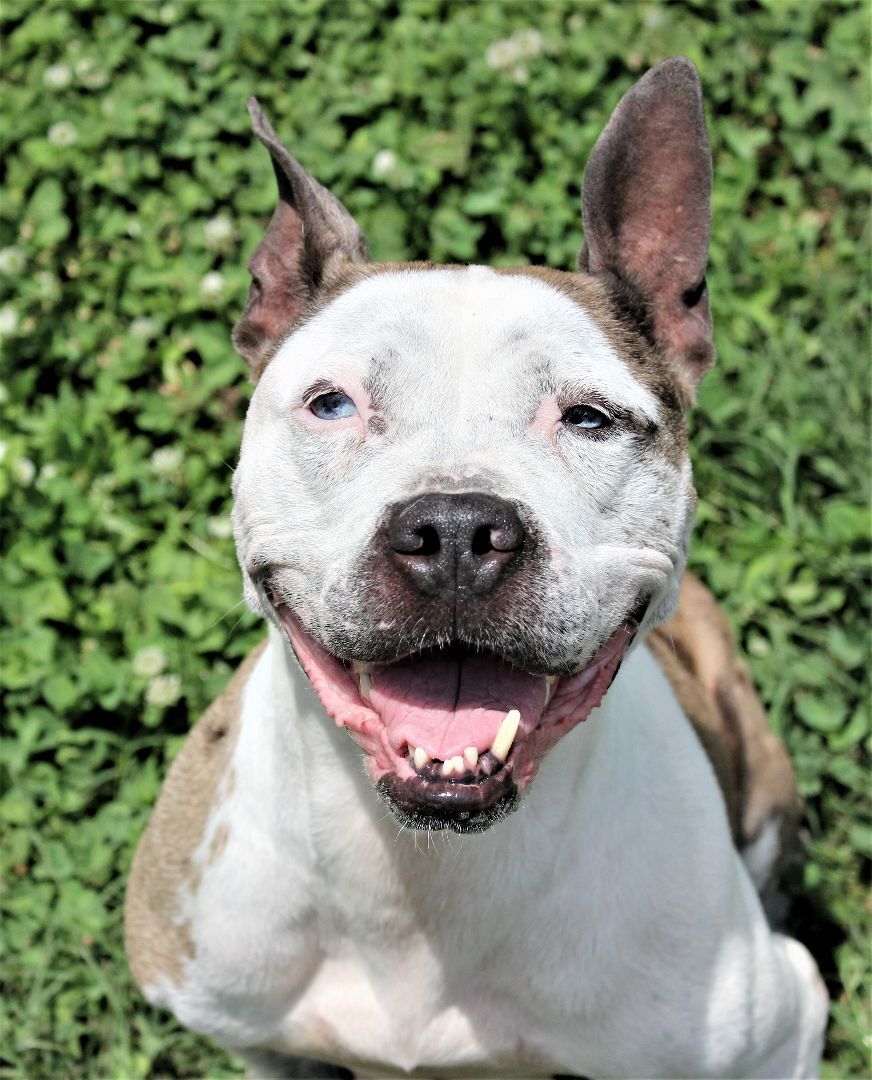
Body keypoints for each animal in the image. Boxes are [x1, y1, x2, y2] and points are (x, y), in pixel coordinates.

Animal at [126, 61, 829, 1080]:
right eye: (332, 404)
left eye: (588, 418)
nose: (457, 530)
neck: (422, 869)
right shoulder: (250, 1030)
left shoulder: (775, 1031)